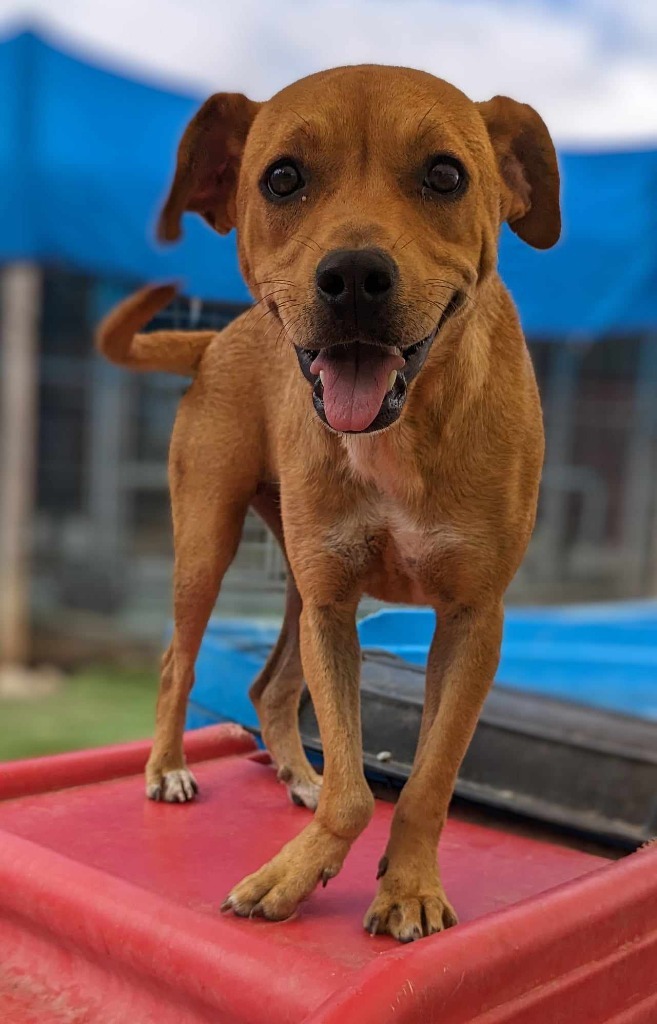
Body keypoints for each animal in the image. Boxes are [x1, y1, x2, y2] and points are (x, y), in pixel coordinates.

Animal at [97, 66, 556, 942]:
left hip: (295, 585)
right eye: (282, 178)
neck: (400, 432)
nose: (351, 279)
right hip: (209, 548)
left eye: (445, 174)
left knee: (270, 686)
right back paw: (168, 767)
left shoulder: (470, 619)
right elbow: (354, 786)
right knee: (178, 659)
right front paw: (298, 870)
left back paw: (294, 775)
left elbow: (428, 780)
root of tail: (217, 338)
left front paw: (407, 887)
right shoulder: (334, 607)